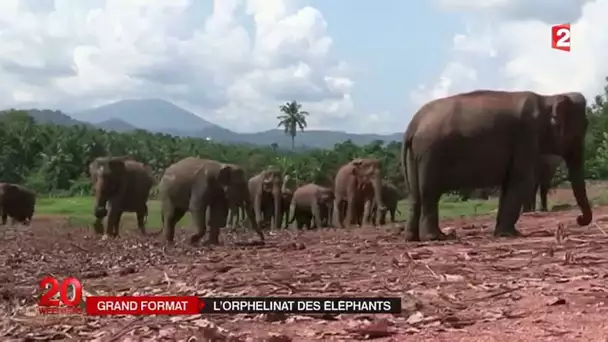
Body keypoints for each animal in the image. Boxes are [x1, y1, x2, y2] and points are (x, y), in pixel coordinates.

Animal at [402, 89, 592, 242]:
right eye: (584, 126)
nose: (579, 220)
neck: (547, 98)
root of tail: (412, 125)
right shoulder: (526, 137)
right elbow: (521, 181)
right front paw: (510, 235)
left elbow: (509, 184)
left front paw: (505, 233)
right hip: (430, 154)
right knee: (429, 194)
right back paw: (436, 237)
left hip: (416, 156)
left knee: (415, 195)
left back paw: (412, 238)